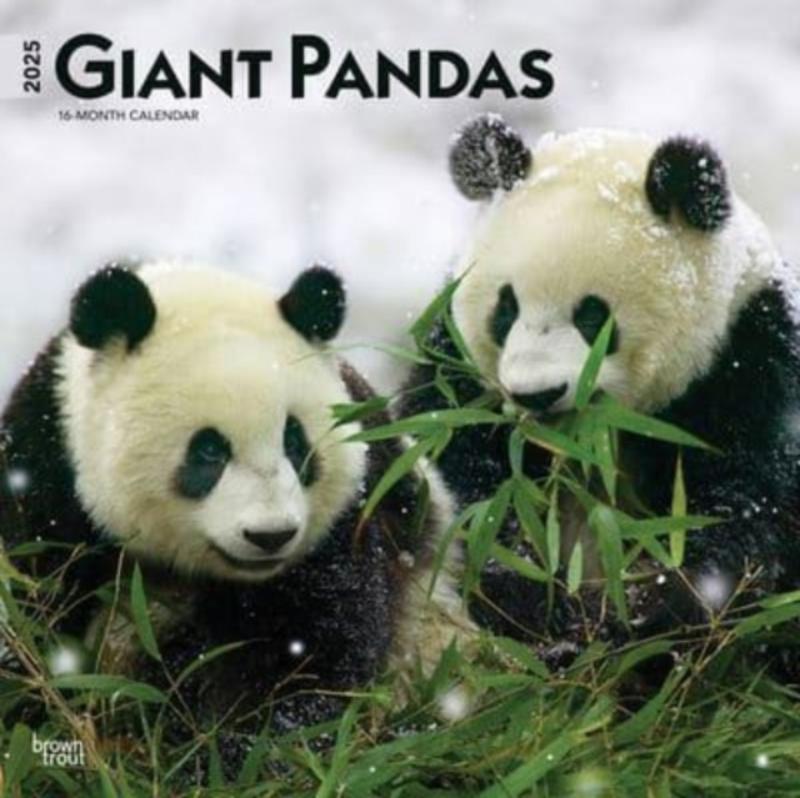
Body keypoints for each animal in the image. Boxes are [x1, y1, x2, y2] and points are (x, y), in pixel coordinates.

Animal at [0, 261, 473, 731]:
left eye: (295, 441)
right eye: (209, 450)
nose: (271, 536)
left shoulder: (348, 518)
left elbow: (308, 648)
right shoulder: (45, 473)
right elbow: (31, 608)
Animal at [401, 113, 800, 640]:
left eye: (593, 316)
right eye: (505, 308)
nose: (536, 394)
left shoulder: (749, 361)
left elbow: (740, 509)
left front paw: (643, 609)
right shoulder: (458, 375)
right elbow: (462, 484)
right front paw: (539, 598)